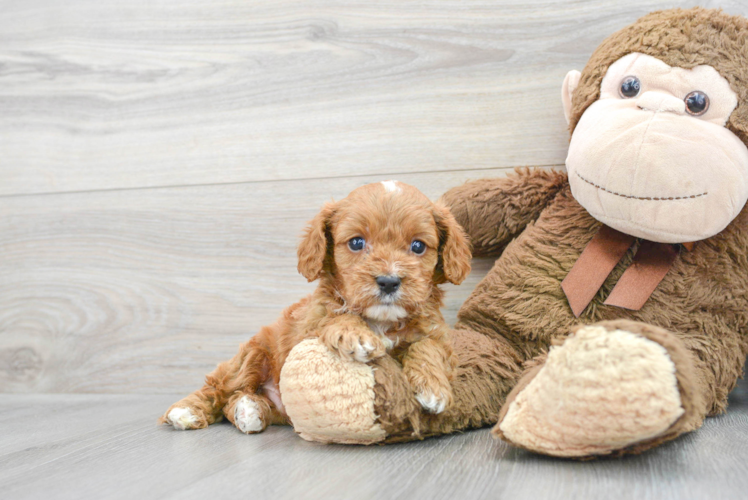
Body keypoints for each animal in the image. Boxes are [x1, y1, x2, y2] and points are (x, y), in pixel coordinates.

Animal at [161, 180, 470, 434]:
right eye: (356, 242)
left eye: (418, 246)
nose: (388, 281)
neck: (380, 320)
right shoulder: (305, 329)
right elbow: (332, 317)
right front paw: (355, 334)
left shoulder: (437, 335)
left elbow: (427, 346)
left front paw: (433, 387)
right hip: (253, 354)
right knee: (220, 387)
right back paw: (187, 411)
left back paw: (250, 410)